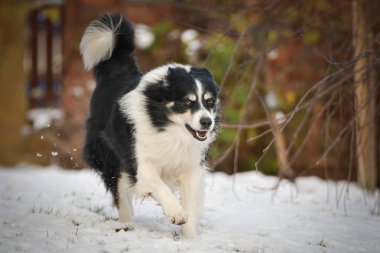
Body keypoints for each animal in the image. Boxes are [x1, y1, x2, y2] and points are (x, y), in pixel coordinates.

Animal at [81, 14, 221, 237]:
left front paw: (191, 237)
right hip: (108, 156)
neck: (167, 126)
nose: (207, 122)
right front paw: (176, 213)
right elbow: (158, 184)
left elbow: (190, 202)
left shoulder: (191, 166)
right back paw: (127, 223)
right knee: (121, 194)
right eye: (187, 102)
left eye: (210, 101)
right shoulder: (140, 160)